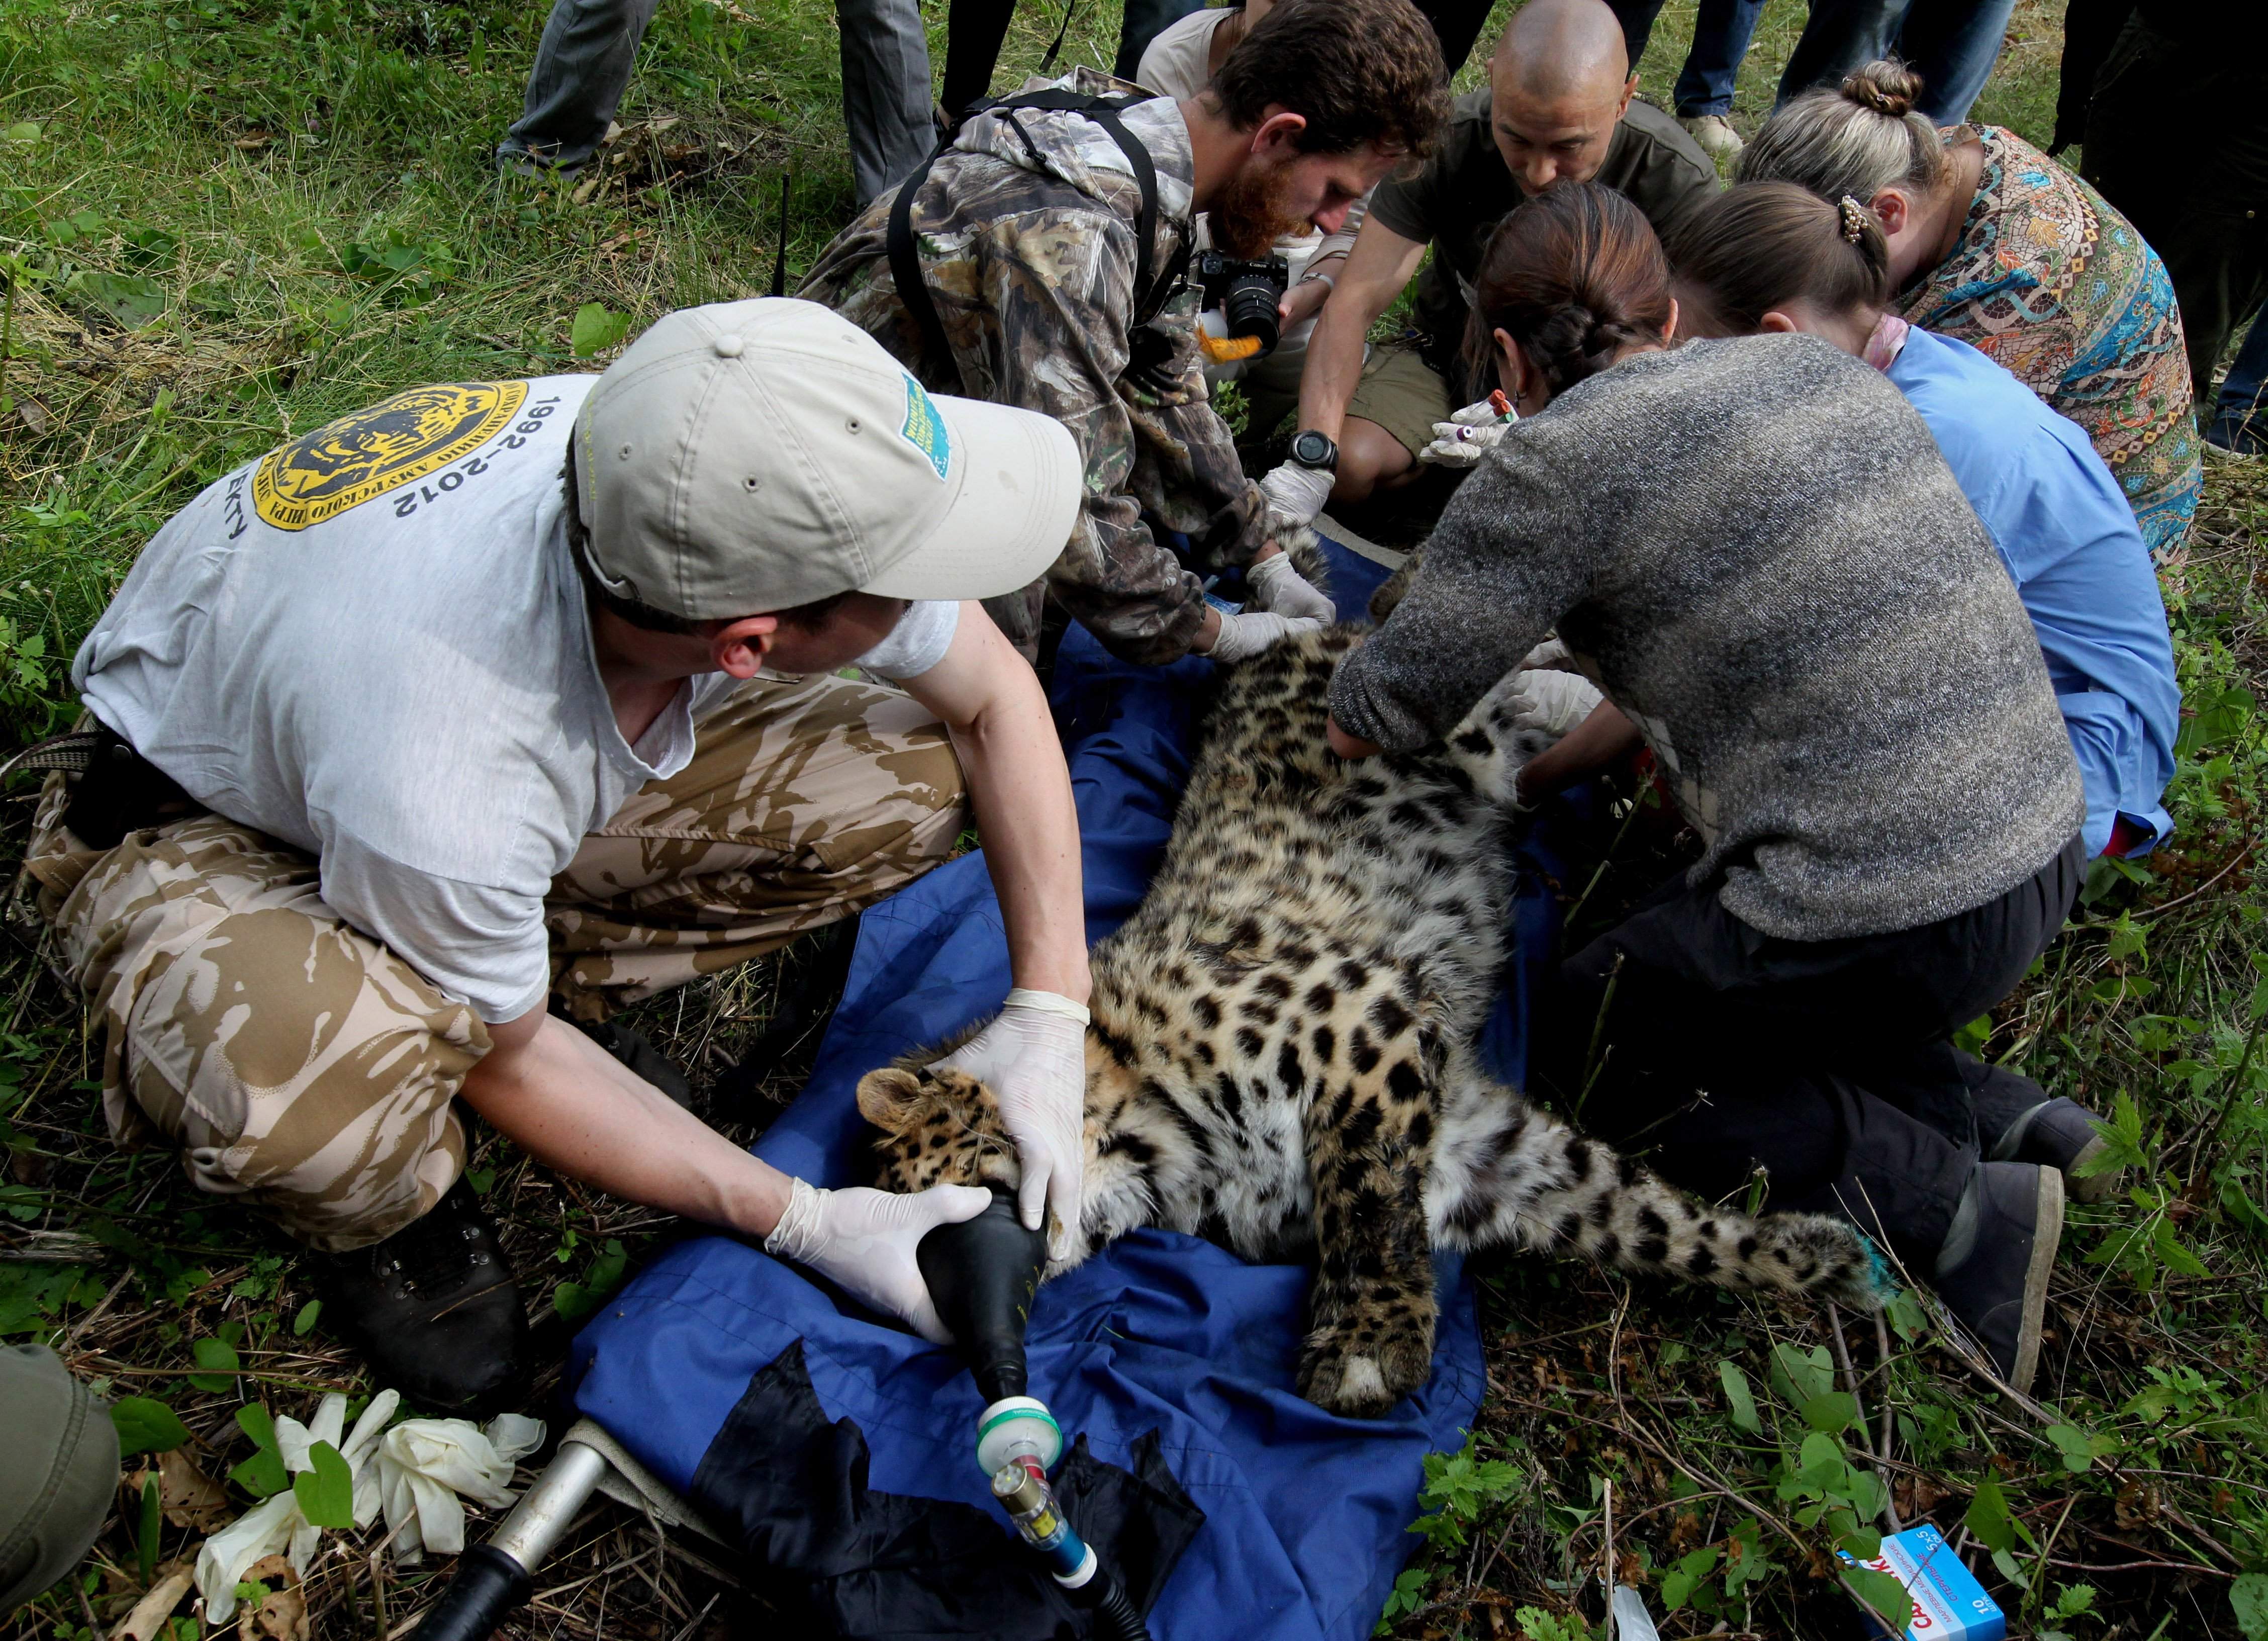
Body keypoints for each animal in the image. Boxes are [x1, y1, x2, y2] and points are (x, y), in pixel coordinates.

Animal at [853, 617, 1877, 1425]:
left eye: (937, 1198)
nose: (954, 1317)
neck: (1152, 1141)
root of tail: (1299, 640)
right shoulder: (1478, 1151)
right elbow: (1640, 1215)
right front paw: (1815, 1260)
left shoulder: (1358, 1026)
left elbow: (1369, 1195)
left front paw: (1365, 1343)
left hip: (1429, 706)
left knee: (1497, 657)